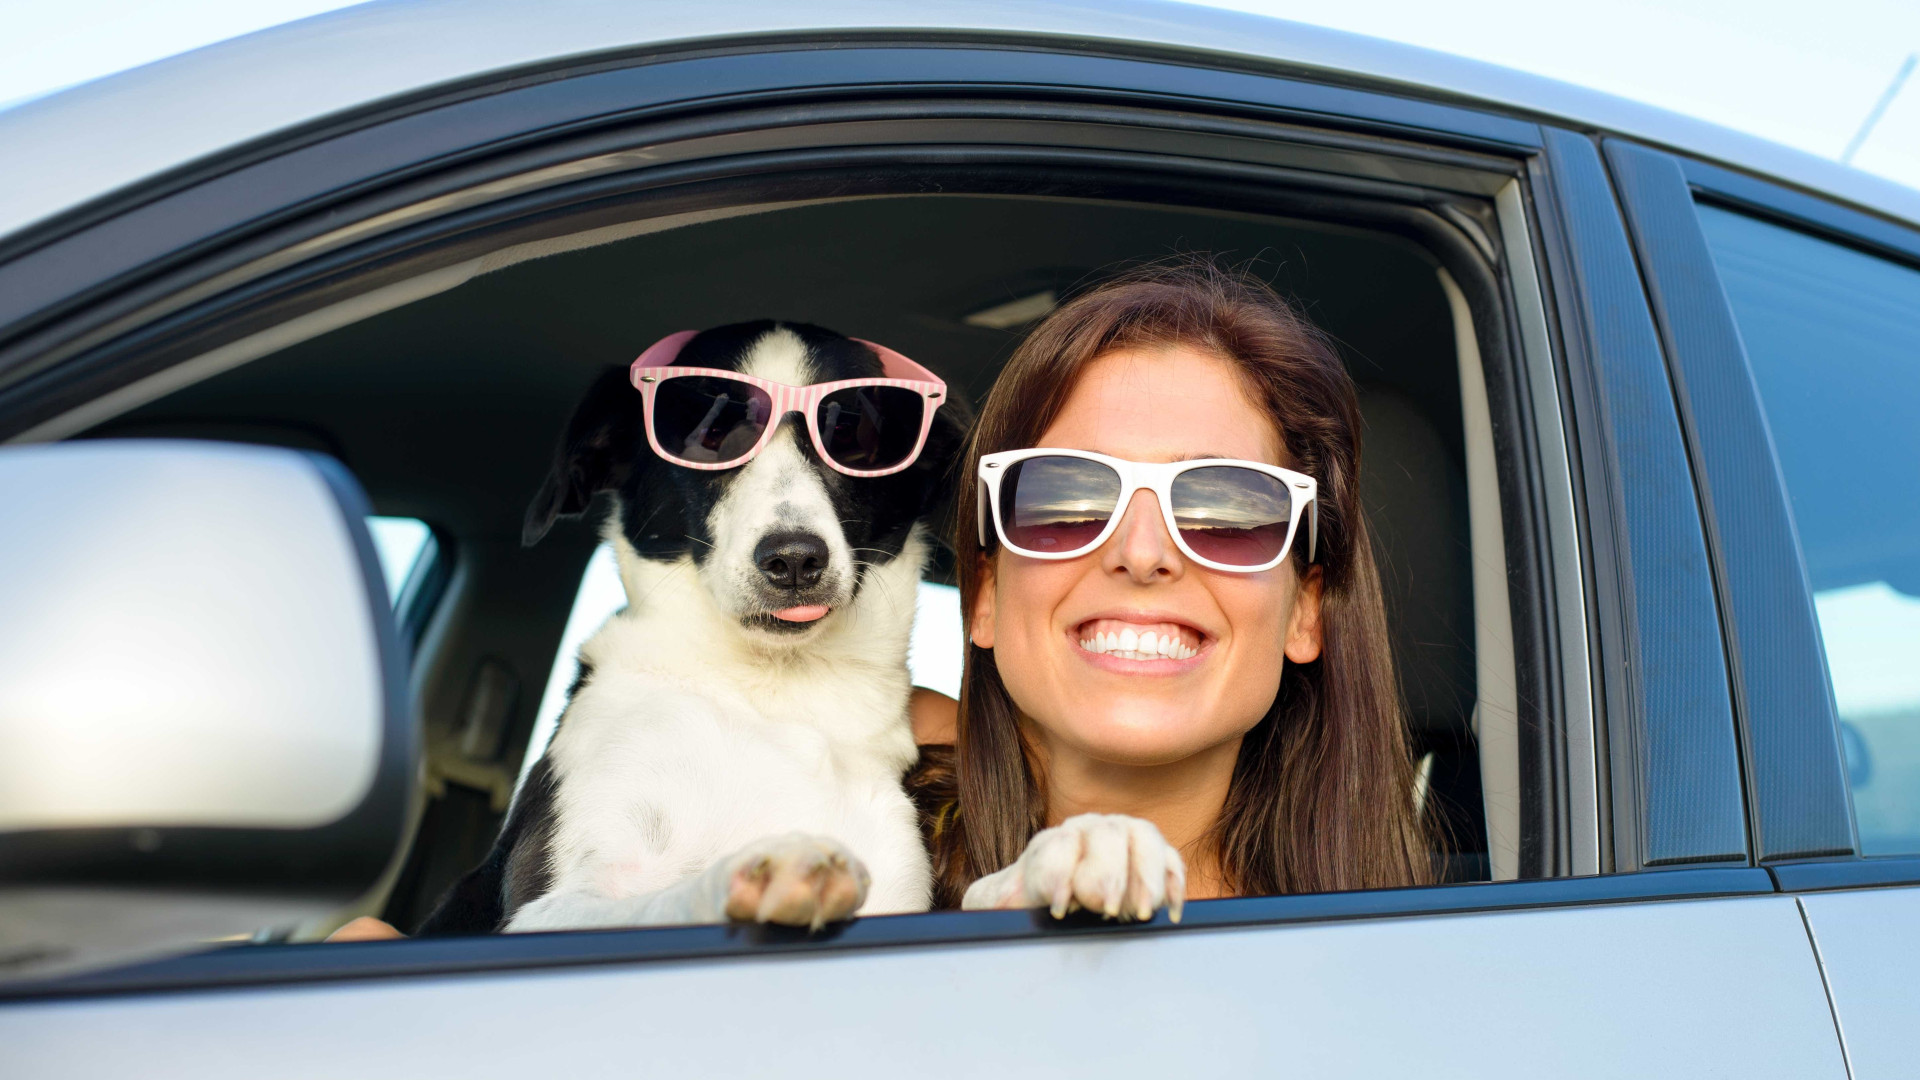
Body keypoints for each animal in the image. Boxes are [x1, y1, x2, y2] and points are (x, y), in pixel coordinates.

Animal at [416, 319, 960, 933]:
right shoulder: (546, 907)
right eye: (712, 430)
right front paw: (755, 877)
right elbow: (657, 902)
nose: (794, 559)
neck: (776, 693)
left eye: (851, 432)